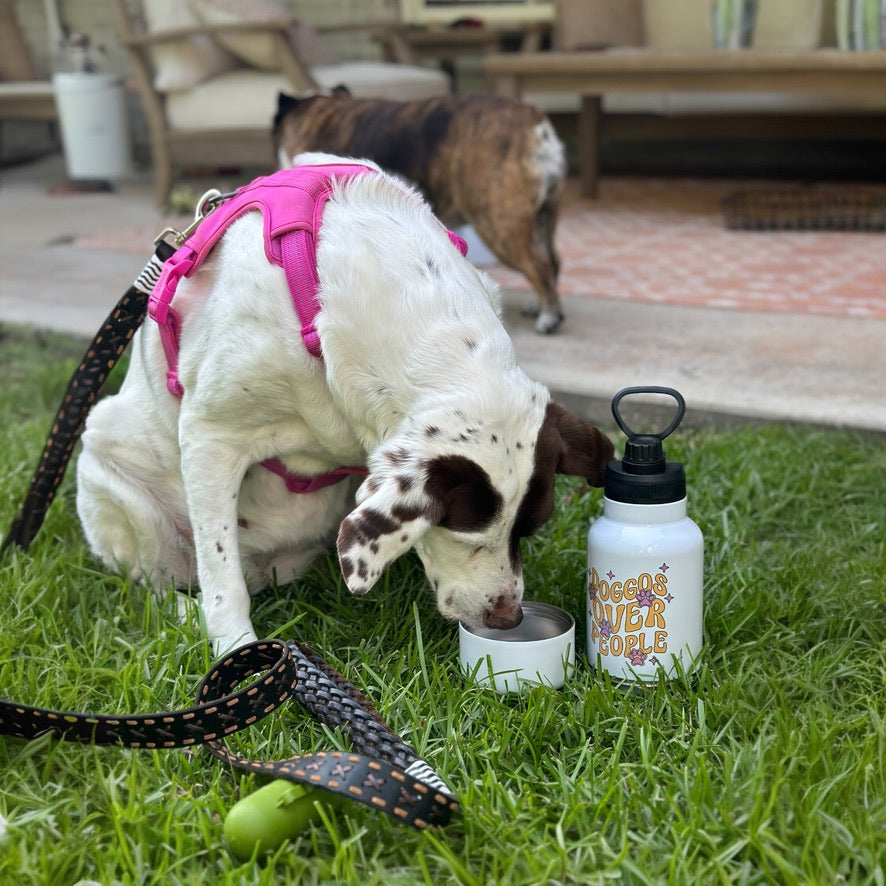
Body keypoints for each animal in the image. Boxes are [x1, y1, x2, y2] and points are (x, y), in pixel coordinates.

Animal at [274, 90, 568, 334]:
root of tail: (536, 126)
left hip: (497, 220)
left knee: (538, 265)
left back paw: (548, 317)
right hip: (542, 218)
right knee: (550, 262)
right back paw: (541, 306)